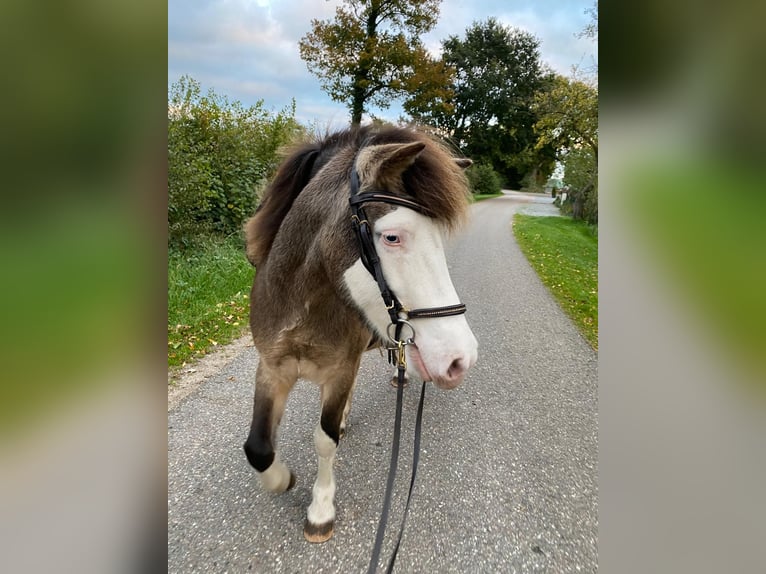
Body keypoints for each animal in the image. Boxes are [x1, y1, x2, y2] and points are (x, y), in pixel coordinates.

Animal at [242, 124, 478, 543]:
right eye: (393, 237)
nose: (460, 358)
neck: (305, 303)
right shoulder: (271, 368)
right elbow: (258, 447)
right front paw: (282, 480)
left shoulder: (340, 370)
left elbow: (324, 439)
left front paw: (320, 508)